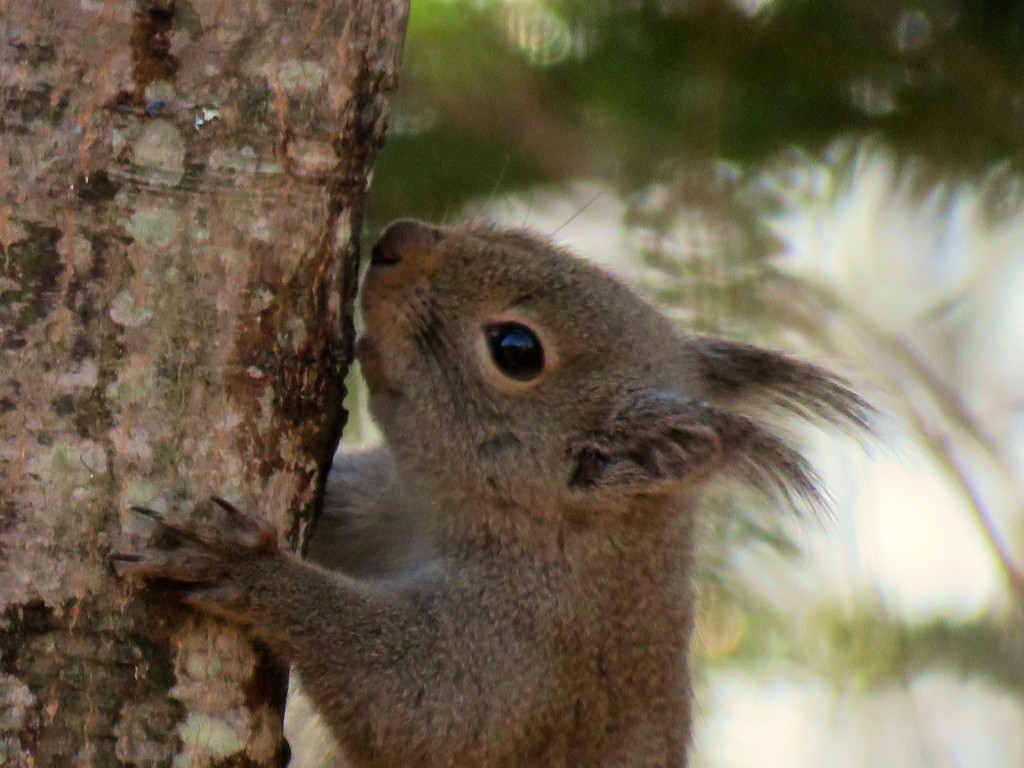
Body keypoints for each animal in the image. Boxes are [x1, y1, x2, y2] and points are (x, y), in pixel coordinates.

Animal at [112, 218, 868, 768]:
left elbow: (418, 708)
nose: (396, 240)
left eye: (516, 350)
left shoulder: (529, 652)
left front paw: (251, 570)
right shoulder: (375, 501)